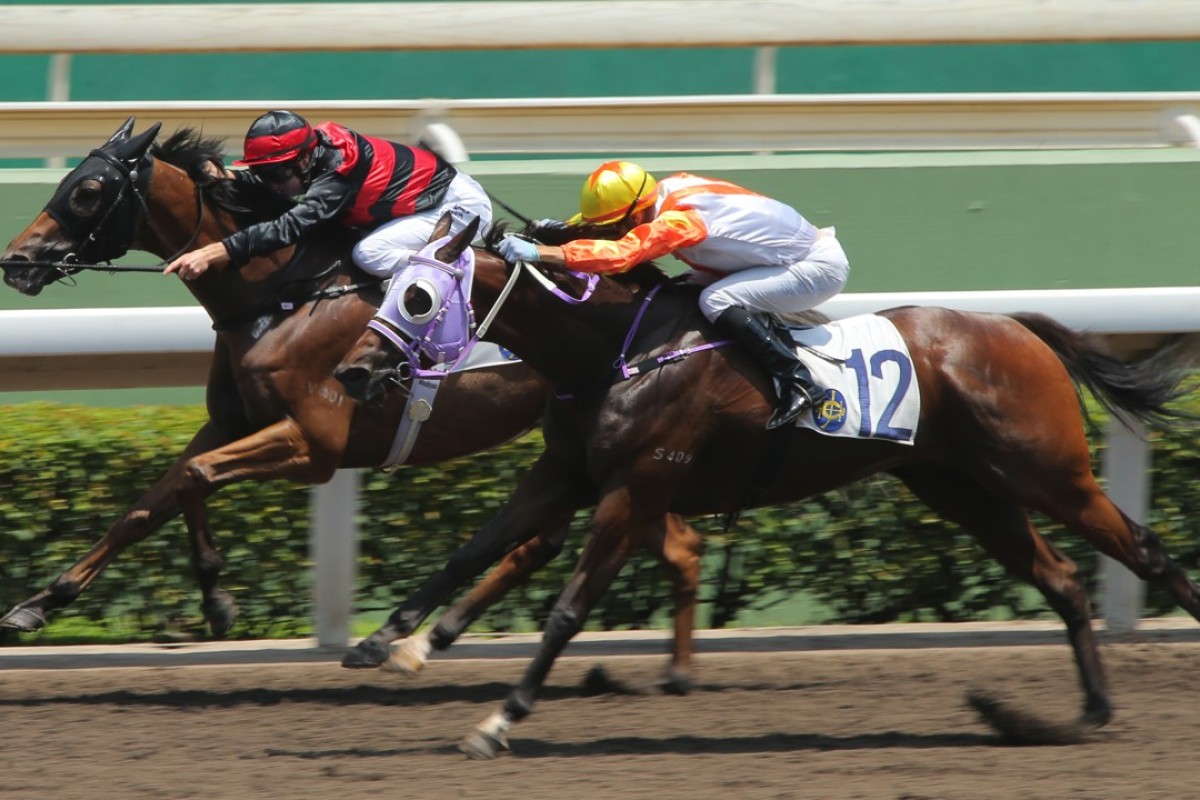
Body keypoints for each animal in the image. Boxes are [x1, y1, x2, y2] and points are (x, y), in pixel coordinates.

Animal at [0, 120, 700, 690]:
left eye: (88, 191)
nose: (16, 261)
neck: (279, 292)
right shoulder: (231, 422)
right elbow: (157, 499)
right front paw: (40, 604)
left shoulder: (313, 444)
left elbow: (193, 478)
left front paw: (211, 598)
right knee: (671, 544)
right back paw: (669, 668)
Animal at [336, 220, 1200, 758]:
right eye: (386, 289)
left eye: (415, 296)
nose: (351, 372)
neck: (617, 351)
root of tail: (1019, 327)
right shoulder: (566, 472)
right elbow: (474, 548)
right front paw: (387, 640)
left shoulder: (637, 487)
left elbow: (568, 610)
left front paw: (498, 720)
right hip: (965, 490)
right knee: (1061, 578)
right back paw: (1086, 711)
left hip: (1048, 472)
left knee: (1146, 549)